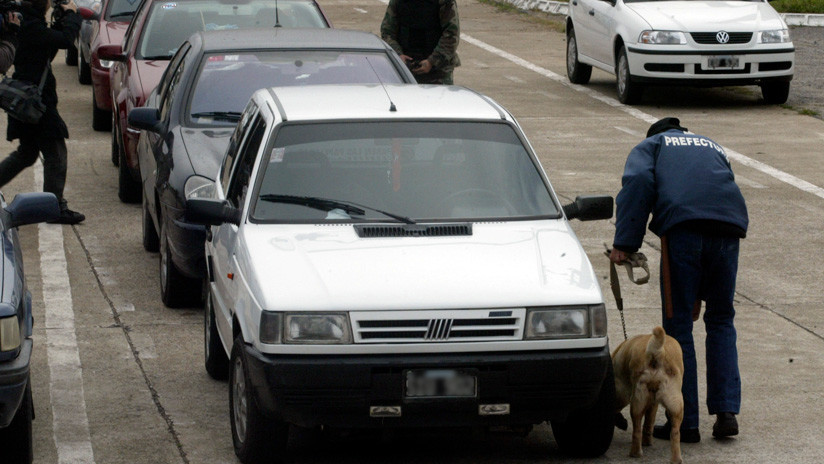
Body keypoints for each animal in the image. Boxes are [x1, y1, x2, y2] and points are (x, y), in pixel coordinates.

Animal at [616, 326, 684, 464]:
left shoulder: (622, 393)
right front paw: (647, 441)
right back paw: (676, 459)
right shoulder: (653, 403)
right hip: (675, 403)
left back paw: (635, 453)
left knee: (636, 429)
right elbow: (649, 421)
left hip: (638, 400)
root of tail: (656, 353)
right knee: (674, 433)